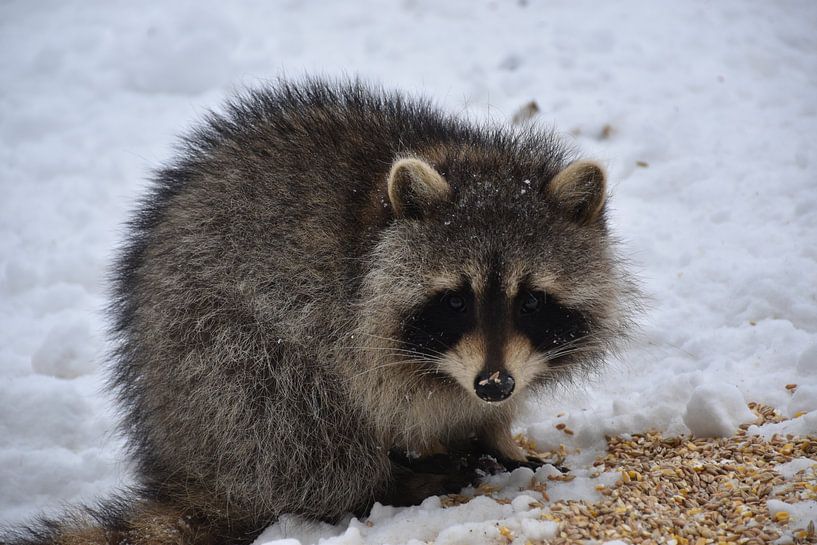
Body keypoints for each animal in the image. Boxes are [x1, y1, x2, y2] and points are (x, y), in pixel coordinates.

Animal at [3, 79, 636, 545]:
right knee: (291, 416)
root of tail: (182, 460)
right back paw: (383, 481)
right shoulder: (341, 317)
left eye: (530, 300)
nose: (496, 385)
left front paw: (493, 433)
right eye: (456, 300)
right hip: (212, 359)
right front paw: (458, 438)